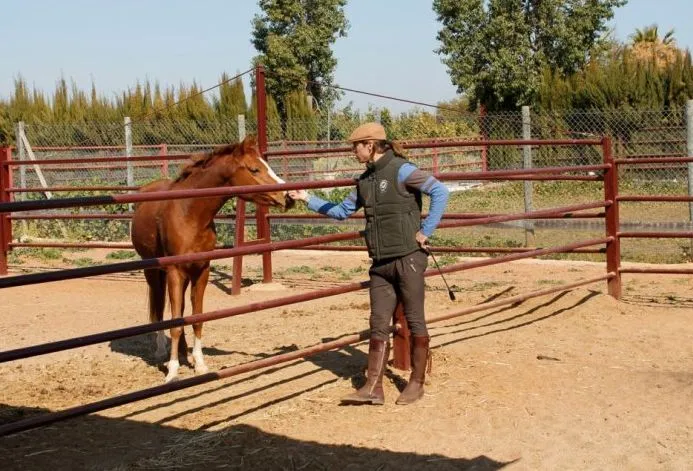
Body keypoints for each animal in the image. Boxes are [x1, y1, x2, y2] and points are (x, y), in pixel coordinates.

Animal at [131, 136, 290, 384]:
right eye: (254, 169)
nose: (287, 197)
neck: (189, 213)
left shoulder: (202, 270)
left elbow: (196, 318)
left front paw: (199, 363)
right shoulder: (174, 271)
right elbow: (174, 322)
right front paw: (173, 371)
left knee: (180, 309)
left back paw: (185, 352)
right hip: (154, 272)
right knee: (159, 309)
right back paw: (161, 351)